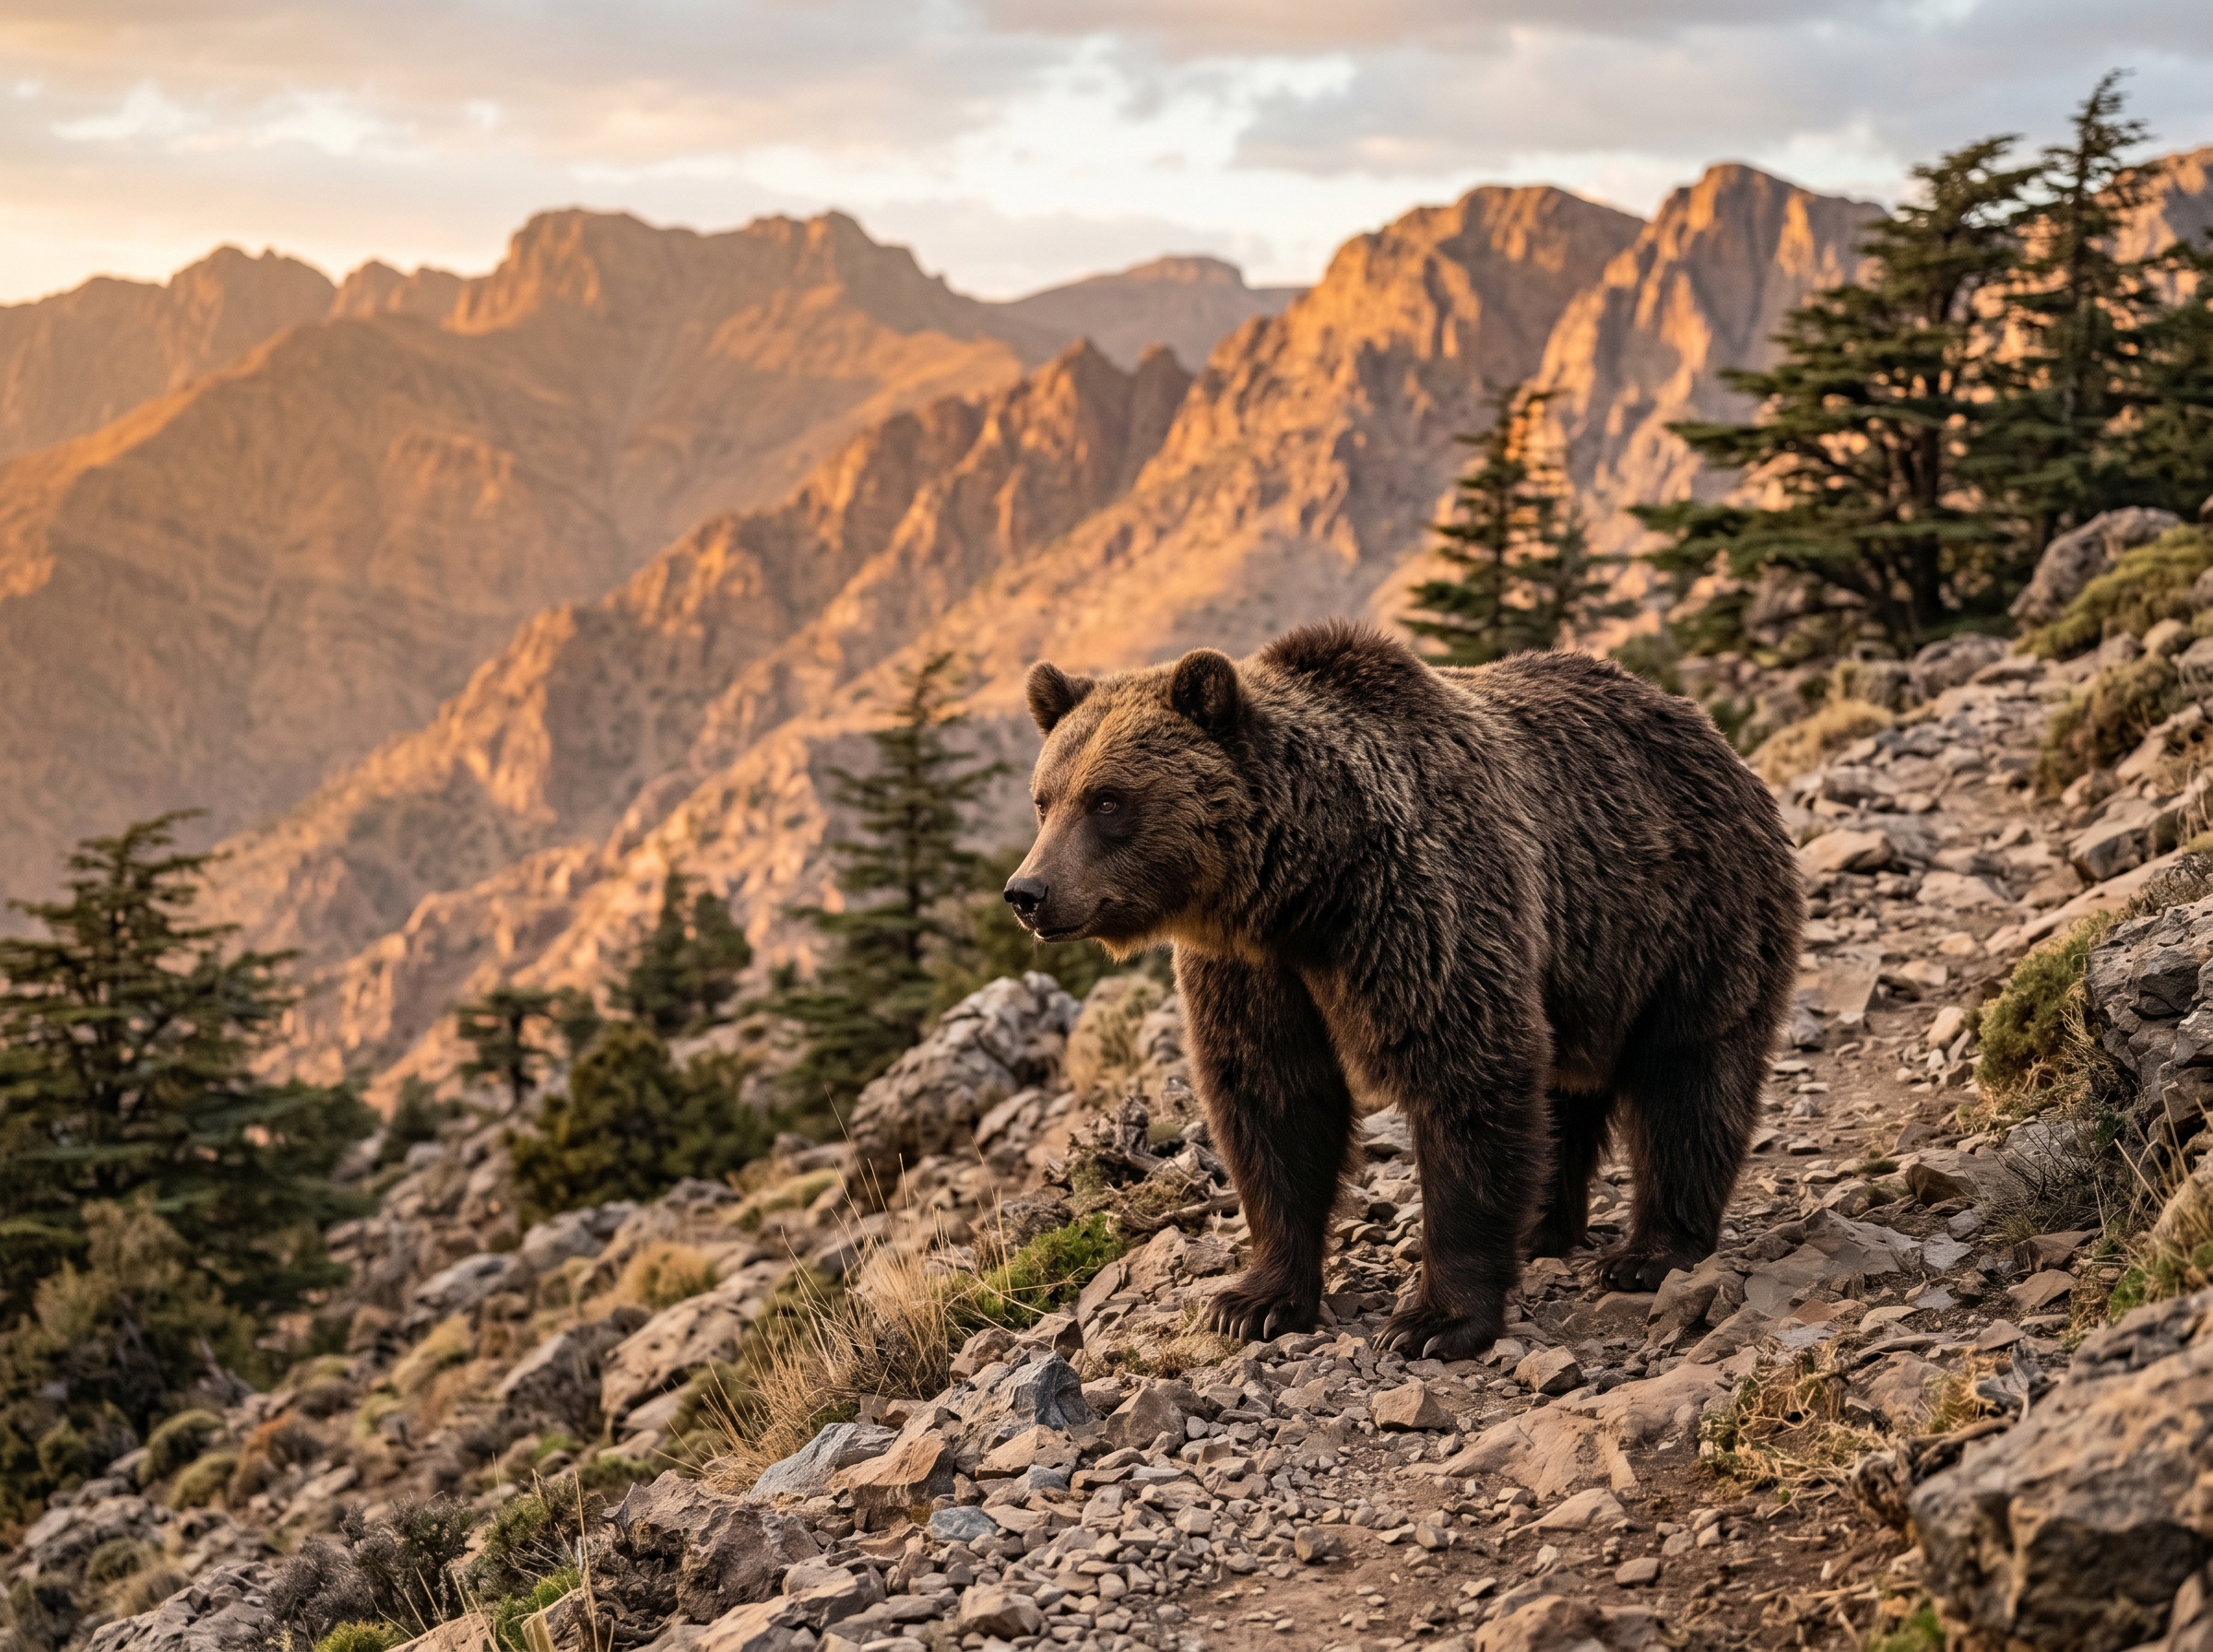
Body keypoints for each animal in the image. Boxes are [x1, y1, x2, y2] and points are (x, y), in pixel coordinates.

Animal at [1003, 620, 1802, 1358]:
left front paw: (1435, 1320)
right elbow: (1273, 1102)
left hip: (1688, 916)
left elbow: (1465, 1077)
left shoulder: (1420, 907)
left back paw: (1650, 1252)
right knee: (1565, 1091)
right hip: (1586, 964)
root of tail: (1704, 727)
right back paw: (1543, 1225)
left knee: (1688, 1077)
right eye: (1044, 800)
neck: (1303, 890)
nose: (1027, 892)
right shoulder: (1251, 970)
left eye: (1108, 800)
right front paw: (1255, 1301)